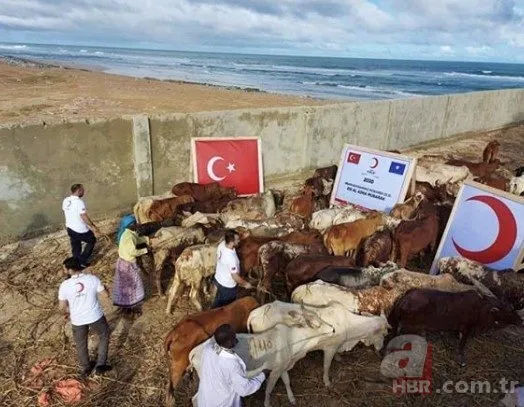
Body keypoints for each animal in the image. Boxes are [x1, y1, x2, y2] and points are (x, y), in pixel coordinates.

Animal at [386, 288, 520, 368]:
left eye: (511, 309)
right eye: (508, 311)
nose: (521, 320)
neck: (481, 308)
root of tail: (403, 299)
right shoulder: (466, 327)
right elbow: (462, 344)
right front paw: (461, 360)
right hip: (409, 325)